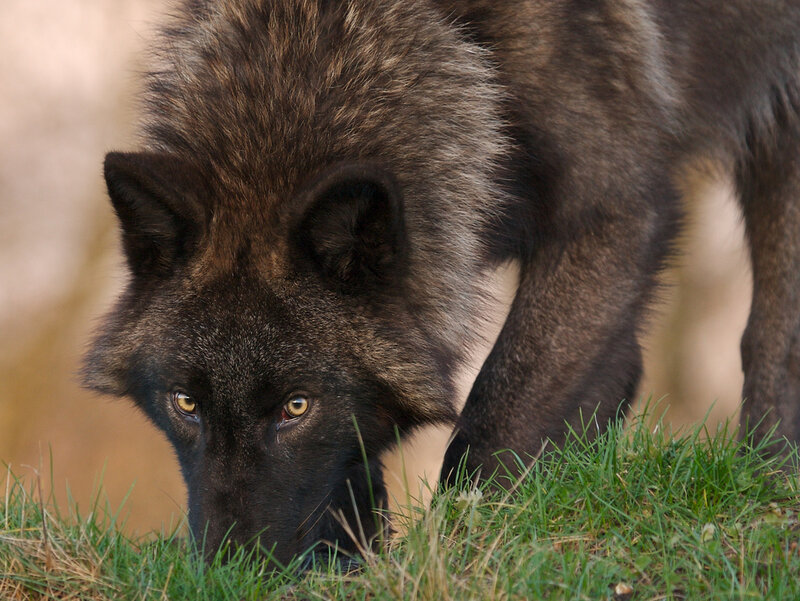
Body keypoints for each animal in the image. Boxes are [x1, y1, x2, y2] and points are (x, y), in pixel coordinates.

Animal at [84, 0, 800, 565]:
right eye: (185, 403)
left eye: (296, 407)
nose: (230, 570)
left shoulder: (612, 214)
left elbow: (494, 427)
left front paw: (461, 557)